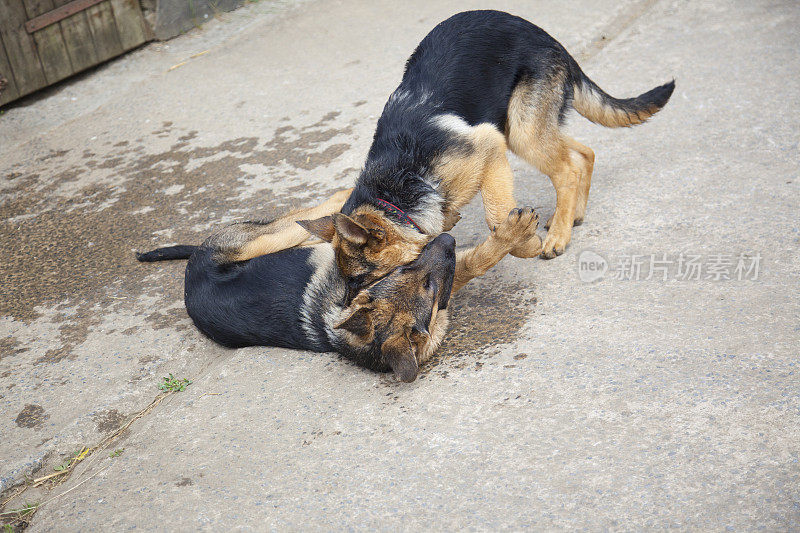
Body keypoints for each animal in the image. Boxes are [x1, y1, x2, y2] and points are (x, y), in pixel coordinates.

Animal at [138, 189, 540, 380]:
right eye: (419, 281)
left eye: (407, 274)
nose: (446, 240)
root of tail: (192, 270)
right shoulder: (450, 278)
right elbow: (478, 260)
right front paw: (513, 232)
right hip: (266, 239)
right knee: (306, 215)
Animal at [290, 9, 672, 296]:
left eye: (362, 278)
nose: (342, 318)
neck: (396, 187)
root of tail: (545, 35)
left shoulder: (489, 148)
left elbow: (497, 216)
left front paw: (528, 242)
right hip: (520, 129)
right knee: (583, 153)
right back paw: (572, 214)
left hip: (520, 132)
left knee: (566, 168)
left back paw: (558, 235)